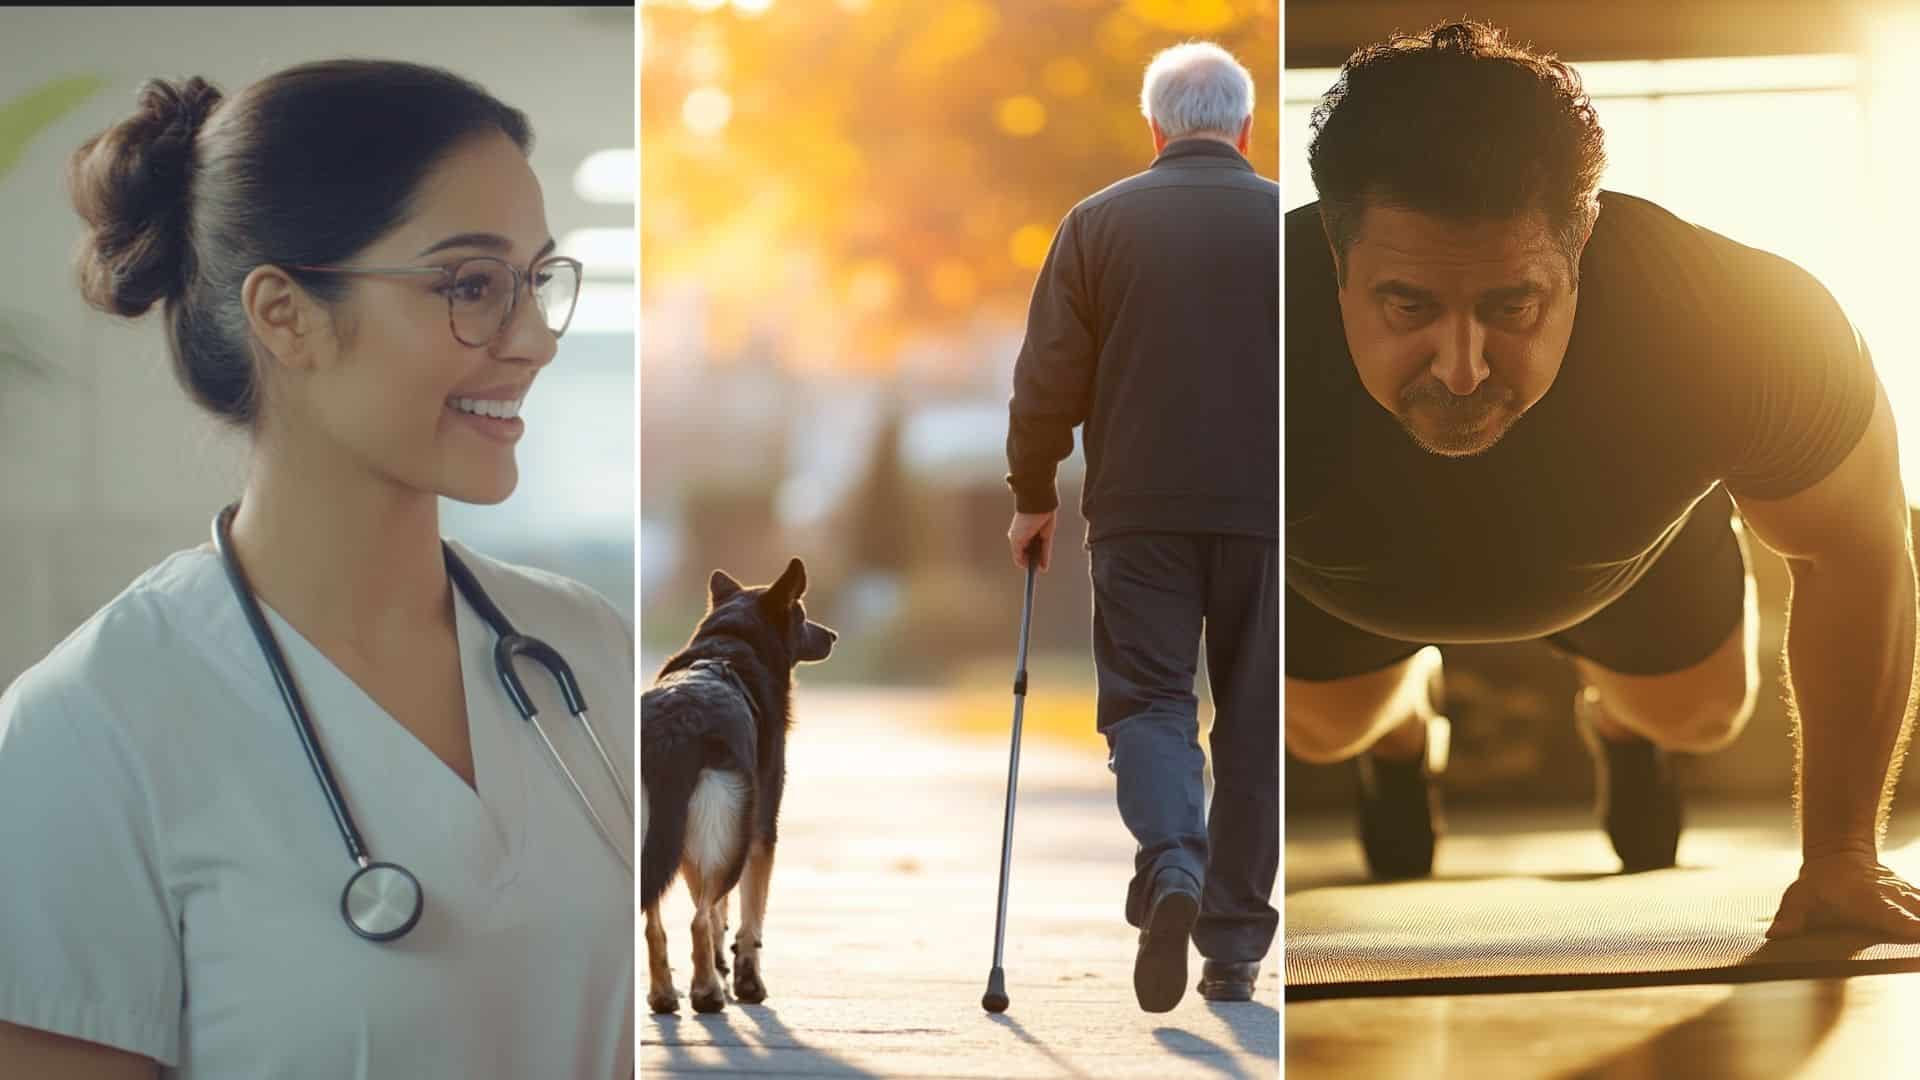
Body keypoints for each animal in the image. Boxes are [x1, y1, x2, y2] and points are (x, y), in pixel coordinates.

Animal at [645, 553, 833, 1006]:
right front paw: (747, 981)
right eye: (801, 614)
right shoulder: (759, 827)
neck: (730, 642)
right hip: (728, 834)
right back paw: (707, 993)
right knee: (696, 919)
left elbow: (719, 911)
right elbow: (748, 916)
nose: (833, 636)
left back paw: (665, 994)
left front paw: (721, 961)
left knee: (655, 921)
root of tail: (676, 725)